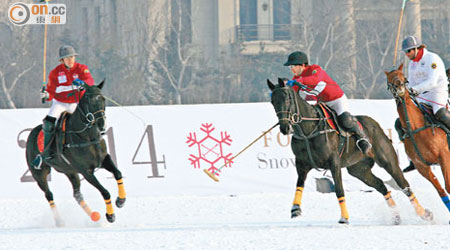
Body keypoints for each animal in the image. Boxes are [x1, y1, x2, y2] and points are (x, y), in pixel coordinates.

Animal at [25, 81, 125, 226]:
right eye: (88, 100)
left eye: (103, 99)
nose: (101, 124)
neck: (87, 137)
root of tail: (31, 133)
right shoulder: (86, 171)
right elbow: (105, 192)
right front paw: (110, 216)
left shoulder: (104, 159)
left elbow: (118, 173)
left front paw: (121, 201)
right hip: (39, 173)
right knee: (49, 194)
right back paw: (59, 221)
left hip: (70, 171)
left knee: (77, 194)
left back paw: (94, 216)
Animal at [268, 78, 430, 225]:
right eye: (273, 101)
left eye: (287, 98)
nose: (285, 128)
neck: (309, 130)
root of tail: (376, 126)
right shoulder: (301, 164)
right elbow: (299, 185)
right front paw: (295, 210)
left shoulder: (334, 162)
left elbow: (339, 189)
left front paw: (344, 218)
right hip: (358, 169)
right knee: (381, 185)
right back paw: (396, 217)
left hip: (388, 161)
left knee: (404, 185)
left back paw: (424, 214)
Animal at [384, 64, 450, 221]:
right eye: (389, 80)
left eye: (404, 77)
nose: (400, 87)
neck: (415, 127)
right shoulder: (422, 166)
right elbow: (441, 191)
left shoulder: (444, 156)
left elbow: (448, 185)